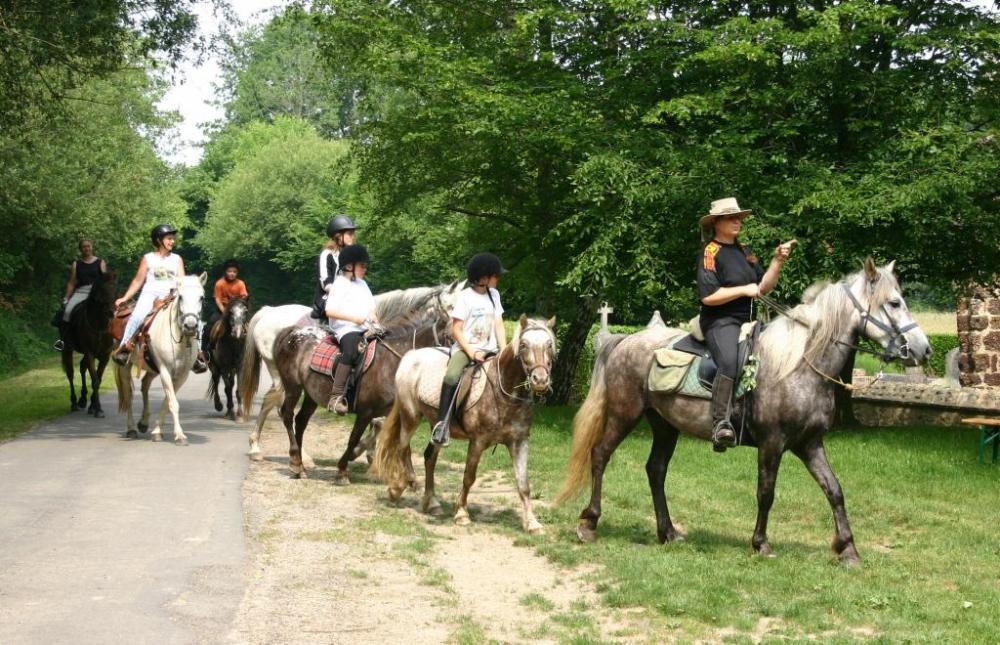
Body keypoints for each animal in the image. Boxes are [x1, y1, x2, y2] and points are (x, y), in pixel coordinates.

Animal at [60, 268, 117, 416]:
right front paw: (98, 409)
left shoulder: (105, 355)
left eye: (115, 288)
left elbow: (98, 378)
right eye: (102, 288)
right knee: (70, 374)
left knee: (81, 367)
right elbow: (95, 379)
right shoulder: (90, 353)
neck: (99, 325)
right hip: (67, 349)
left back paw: (83, 399)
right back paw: (74, 403)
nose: (111, 312)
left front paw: (93, 406)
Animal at [114, 272, 206, 442]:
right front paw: (179, 435)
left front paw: (157, 431)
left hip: (152, 368)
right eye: (180, 297)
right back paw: (131, 429)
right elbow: (172, 403)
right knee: (129, 395)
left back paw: (143, 423)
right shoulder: (164, 371)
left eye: (201, 297)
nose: (190, 326)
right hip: (125, 366)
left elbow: (167, 402)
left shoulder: (181, 375)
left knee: (144, 385)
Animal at [242, 284, 464, 462]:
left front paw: (365, 453)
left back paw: (262, 448)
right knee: (279, 407)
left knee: (276, 405)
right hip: (283, 376)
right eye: (451, 307)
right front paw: (360, 453)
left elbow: (378, 424)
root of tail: (268, 312)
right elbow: (374, 424)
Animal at [374, 316, 560, 532]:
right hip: (410, 416)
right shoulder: (477, 441)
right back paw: (398, 488)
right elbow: (469, 478)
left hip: (436, 427)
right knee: (403, 449)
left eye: (549, 345)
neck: (504, 393)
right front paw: (461, 513)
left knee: (429, 458)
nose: (540, 380)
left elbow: (524, 484)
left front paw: (532, 523)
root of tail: (411, 355)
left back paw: (432, 502)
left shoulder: (519, 442)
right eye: (523, 345)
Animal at [560, 258, 932, 564]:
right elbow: (766, 492)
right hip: (624, 413)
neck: (798, 365)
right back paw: (589, 522)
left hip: (664, 424)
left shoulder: (809, 444)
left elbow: (835, 490)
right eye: (894, 302)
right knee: (600, 454)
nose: (923, 349)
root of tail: (623, 340)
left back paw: (668, 532)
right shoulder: (772, 443)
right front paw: (761, 543)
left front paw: (848, 550)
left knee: (656, 470)